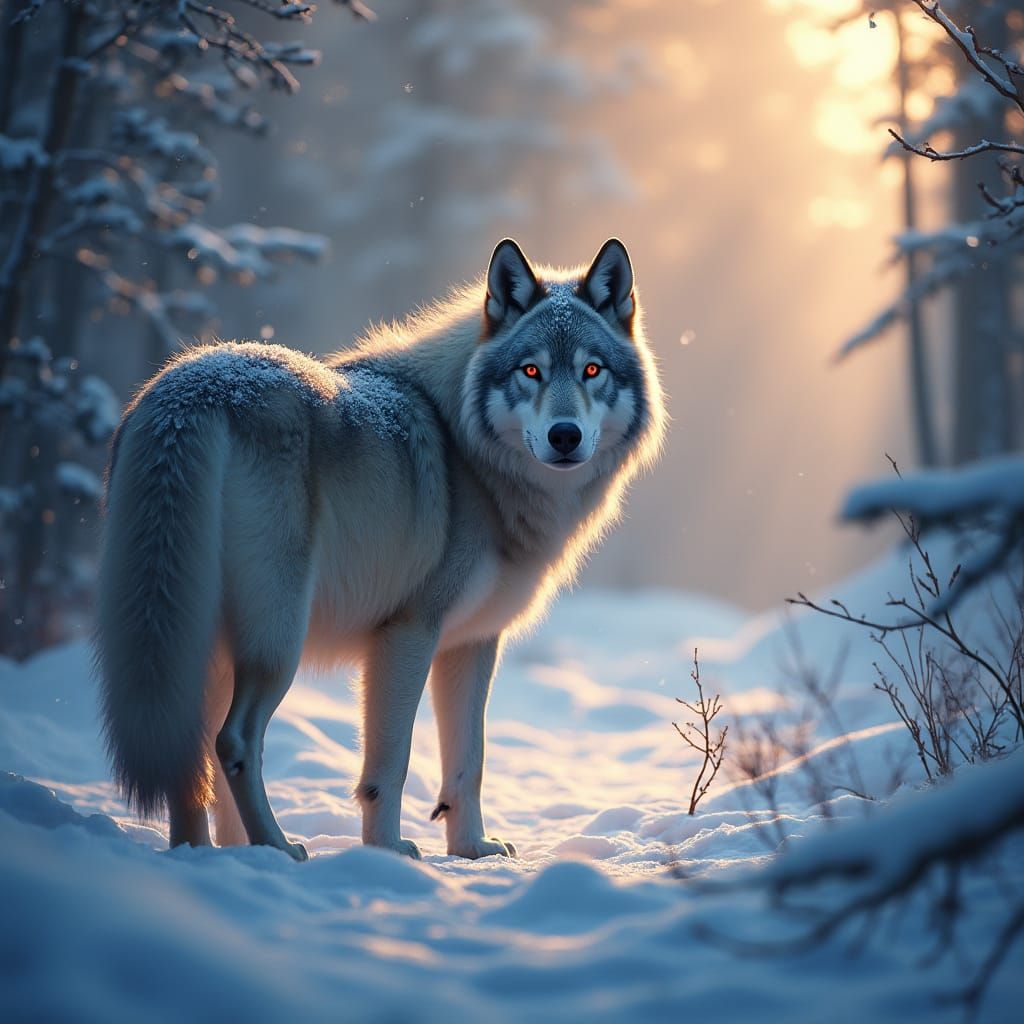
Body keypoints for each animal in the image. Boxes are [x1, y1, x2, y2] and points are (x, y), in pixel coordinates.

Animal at [96, 238, 665, 861]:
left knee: (190, 757)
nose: (565, 436)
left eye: (592, 370)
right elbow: (391, 765)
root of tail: (187, 394)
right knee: (234, 743)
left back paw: (207, 856)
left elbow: (469, 761)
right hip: (276, 645)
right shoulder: (407, 634)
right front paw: (389, 852)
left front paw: (472, 850)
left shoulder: (471, 644)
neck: (470, 456)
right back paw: (277, 848)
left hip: (204, 648)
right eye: (531, 370)